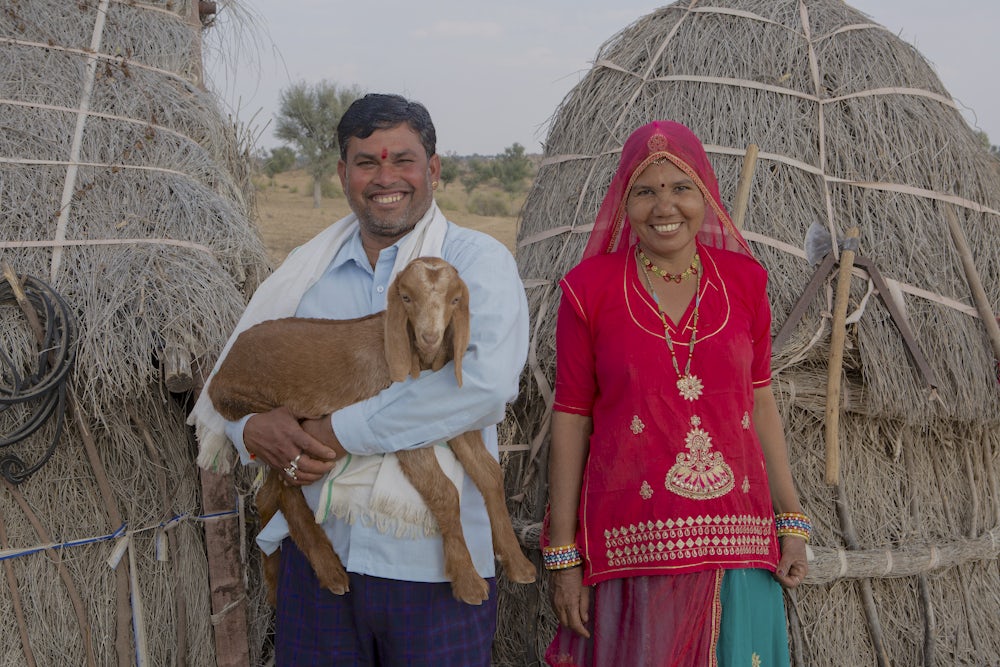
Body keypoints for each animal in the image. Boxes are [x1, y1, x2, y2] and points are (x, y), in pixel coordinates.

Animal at [210, 256, 536, 604]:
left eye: (456, 300)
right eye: (406, 298)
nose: (430, 337)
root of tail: (218, 374)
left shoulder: (451, 418)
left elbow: (489, 473)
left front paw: (519, 565)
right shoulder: (404, 428)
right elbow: (444, 491)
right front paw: (468, 582)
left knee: (268, 495)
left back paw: (274, 588)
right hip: (265, 414)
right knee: (284, 489)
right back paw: (330, 571)